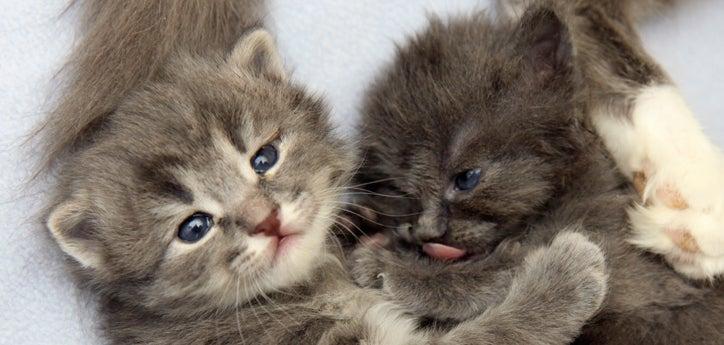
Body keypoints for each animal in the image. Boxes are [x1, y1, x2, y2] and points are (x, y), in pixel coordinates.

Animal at [354, 0, 724, 344]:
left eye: (466, 178)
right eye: (402, 192)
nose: (426, 230)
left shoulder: (624, 260)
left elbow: (493, 275)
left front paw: (386, 266)